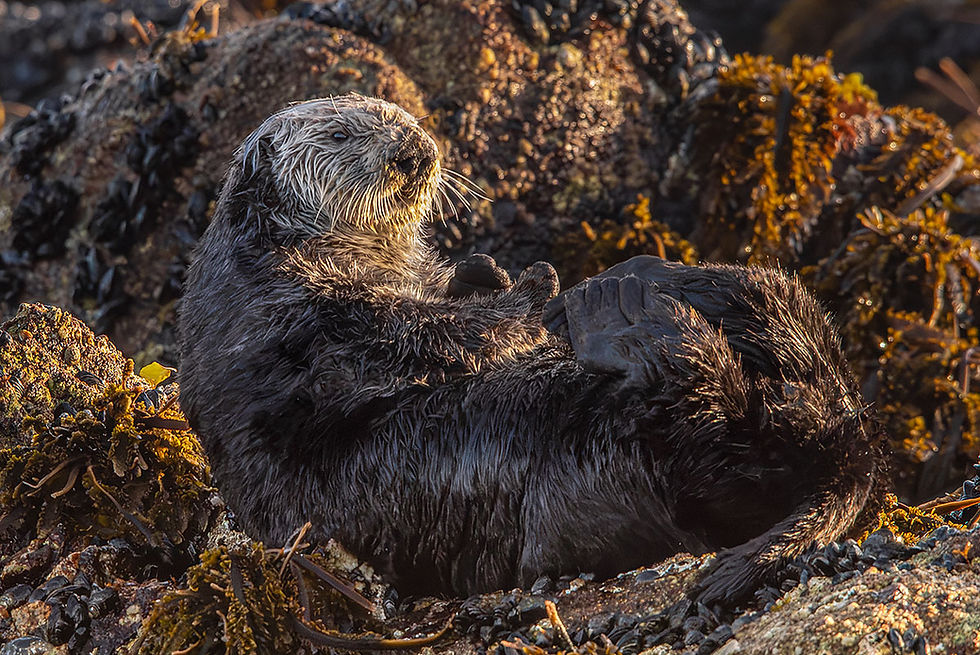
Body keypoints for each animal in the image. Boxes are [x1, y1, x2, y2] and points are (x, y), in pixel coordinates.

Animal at [178, 94, 885, 606]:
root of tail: (847, 452)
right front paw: (531, 286)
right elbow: (427, 334)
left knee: (785, 331)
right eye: (341, 136)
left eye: (404, 117)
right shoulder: (309, 318)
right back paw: (623, 311)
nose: (417, 150)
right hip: (611, 468)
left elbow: (441, 301)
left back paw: (661, 279)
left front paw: (483, 270)